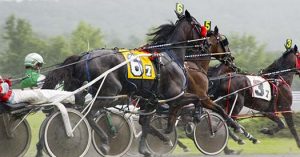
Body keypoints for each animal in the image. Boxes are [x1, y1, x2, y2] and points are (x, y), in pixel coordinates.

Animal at [40, 10, 209, 156]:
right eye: (198, 25)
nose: (206, 44)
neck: (170, 57)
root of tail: (83, 58)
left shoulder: (151, 101)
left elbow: (146, 123)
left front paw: (153, 144)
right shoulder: (175, 96)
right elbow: (197, 99)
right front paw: (196, 117)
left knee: (77, 107)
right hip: (110, 92)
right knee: (88, 112)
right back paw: (102, 140)